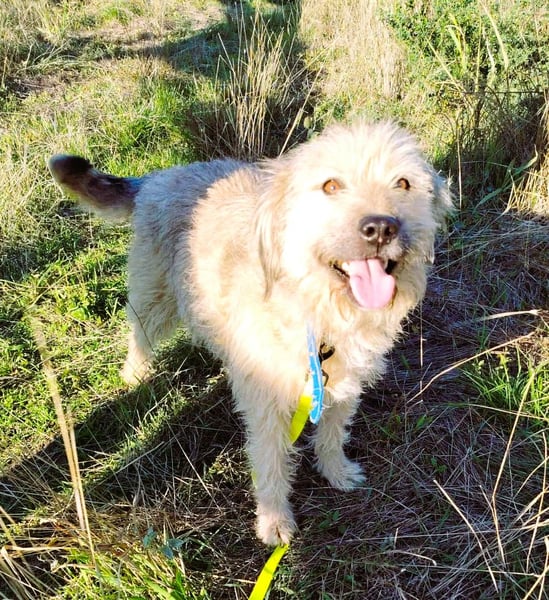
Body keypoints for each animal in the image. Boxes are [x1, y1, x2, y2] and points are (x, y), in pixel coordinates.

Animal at [49, 121, 452, 546]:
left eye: (403, 183)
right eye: (331, 186)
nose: (380, 228)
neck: (319, 313)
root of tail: (161, 176)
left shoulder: (342, 387)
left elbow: (332, 433)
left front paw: (336, 471)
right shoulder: (266, 405)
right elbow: (271, 462)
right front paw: (274, 521)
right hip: (155, 295)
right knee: (139, 335)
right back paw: (135, 375)